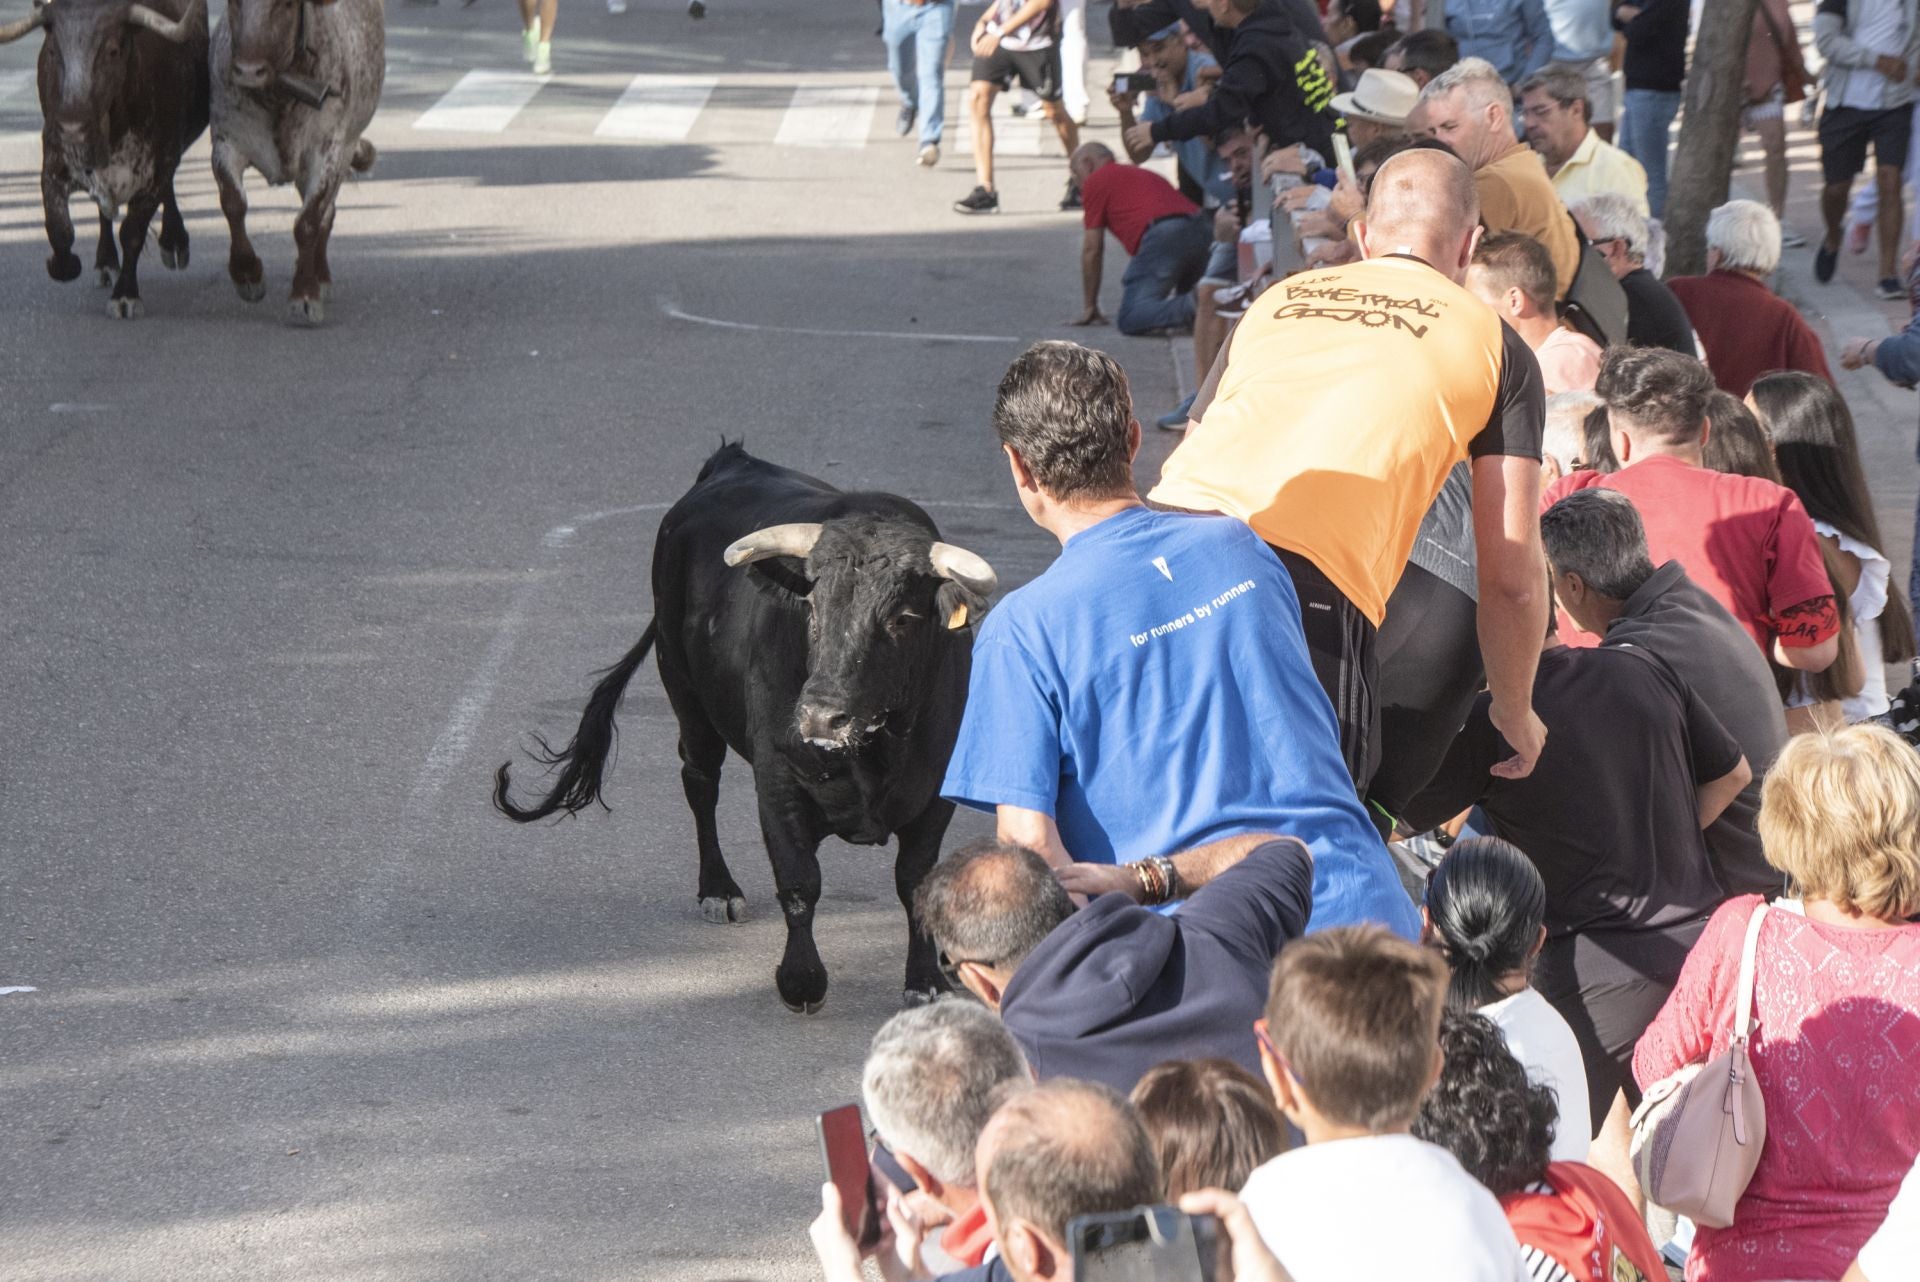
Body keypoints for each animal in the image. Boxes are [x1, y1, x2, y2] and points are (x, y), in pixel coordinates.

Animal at [495, 445, 998, 1013]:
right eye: (812, 607)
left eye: (904, 618)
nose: (821, 716)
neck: (872, 755)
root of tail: (730, 459)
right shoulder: (777, 778)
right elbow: (800, 881)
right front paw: (801, 981)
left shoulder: (936, 790)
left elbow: (913, 881)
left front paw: (926, 978)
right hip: (684, 690)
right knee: (699, 781)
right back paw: (719, 889)